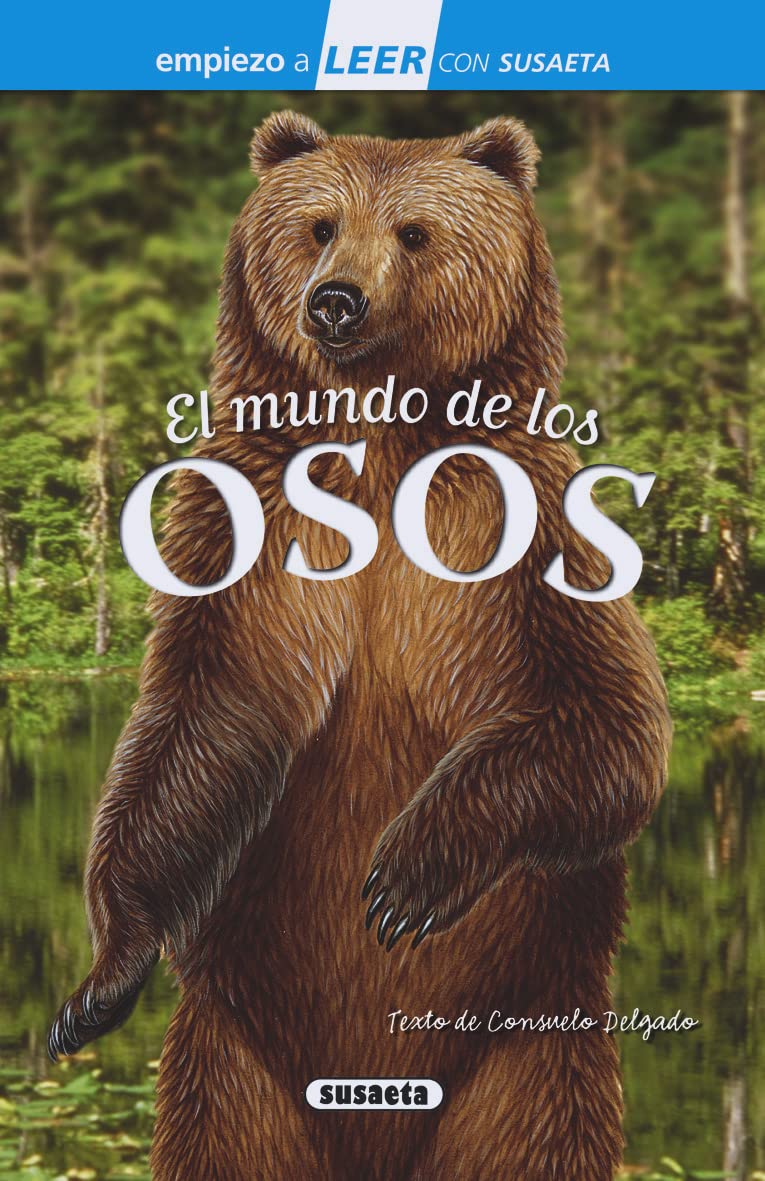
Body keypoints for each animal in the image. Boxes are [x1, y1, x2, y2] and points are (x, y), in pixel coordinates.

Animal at [48, 111, 672, 1181]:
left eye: (415, 232)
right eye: (318, 225)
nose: (335, 301)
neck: (379, 444)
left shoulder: (521, 533)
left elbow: (607, 718)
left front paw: (401, 875)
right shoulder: (252, 535)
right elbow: (199, 725)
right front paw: (99, 980)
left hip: (522, 1055)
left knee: (532, 1137)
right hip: (237, 1070)